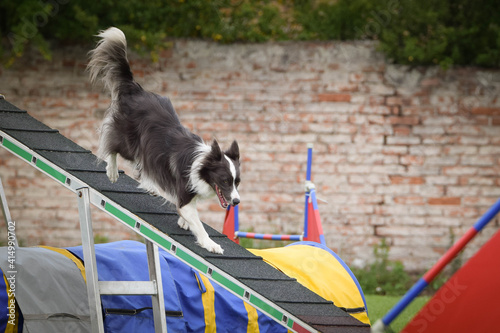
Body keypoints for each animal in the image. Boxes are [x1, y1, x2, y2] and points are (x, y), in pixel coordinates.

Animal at [87, 28, 240, 253]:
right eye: (225, 181)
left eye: (237, 182)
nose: (237, 201)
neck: (202, 165)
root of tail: (137, 90)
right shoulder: (185, 195)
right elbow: (198, 223)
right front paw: (210, 244)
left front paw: (184, 223)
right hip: (129, 140)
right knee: (112, 143)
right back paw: (112, 171)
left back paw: (149, 185)